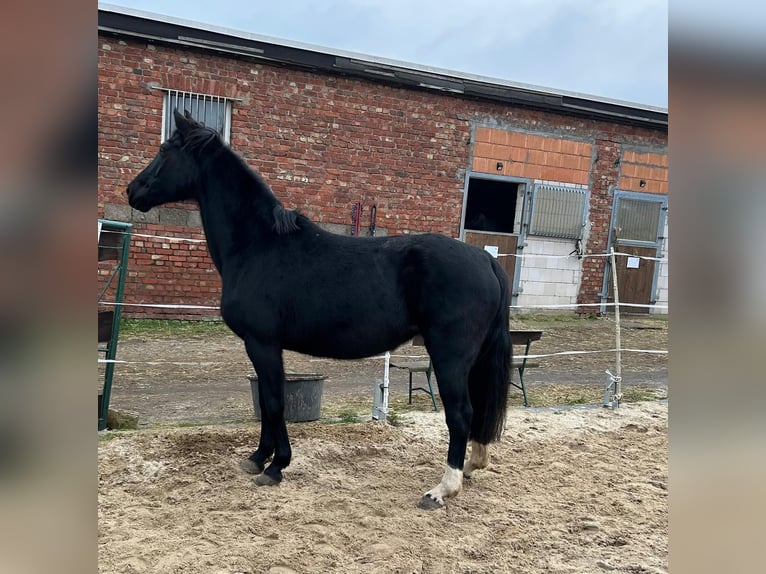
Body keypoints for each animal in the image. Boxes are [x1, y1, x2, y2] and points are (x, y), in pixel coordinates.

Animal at [129, 110, 512, 510]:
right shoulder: (263, 347)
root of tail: (485, 259)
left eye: (165, 150)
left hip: (449, 355)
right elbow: (266, 400)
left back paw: (442, 488)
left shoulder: (262, 343)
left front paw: (275, 466)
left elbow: (274, 401)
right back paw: (472, 465)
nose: (132, 191)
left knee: (461, 412)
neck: (258, 245)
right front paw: (257, 458)